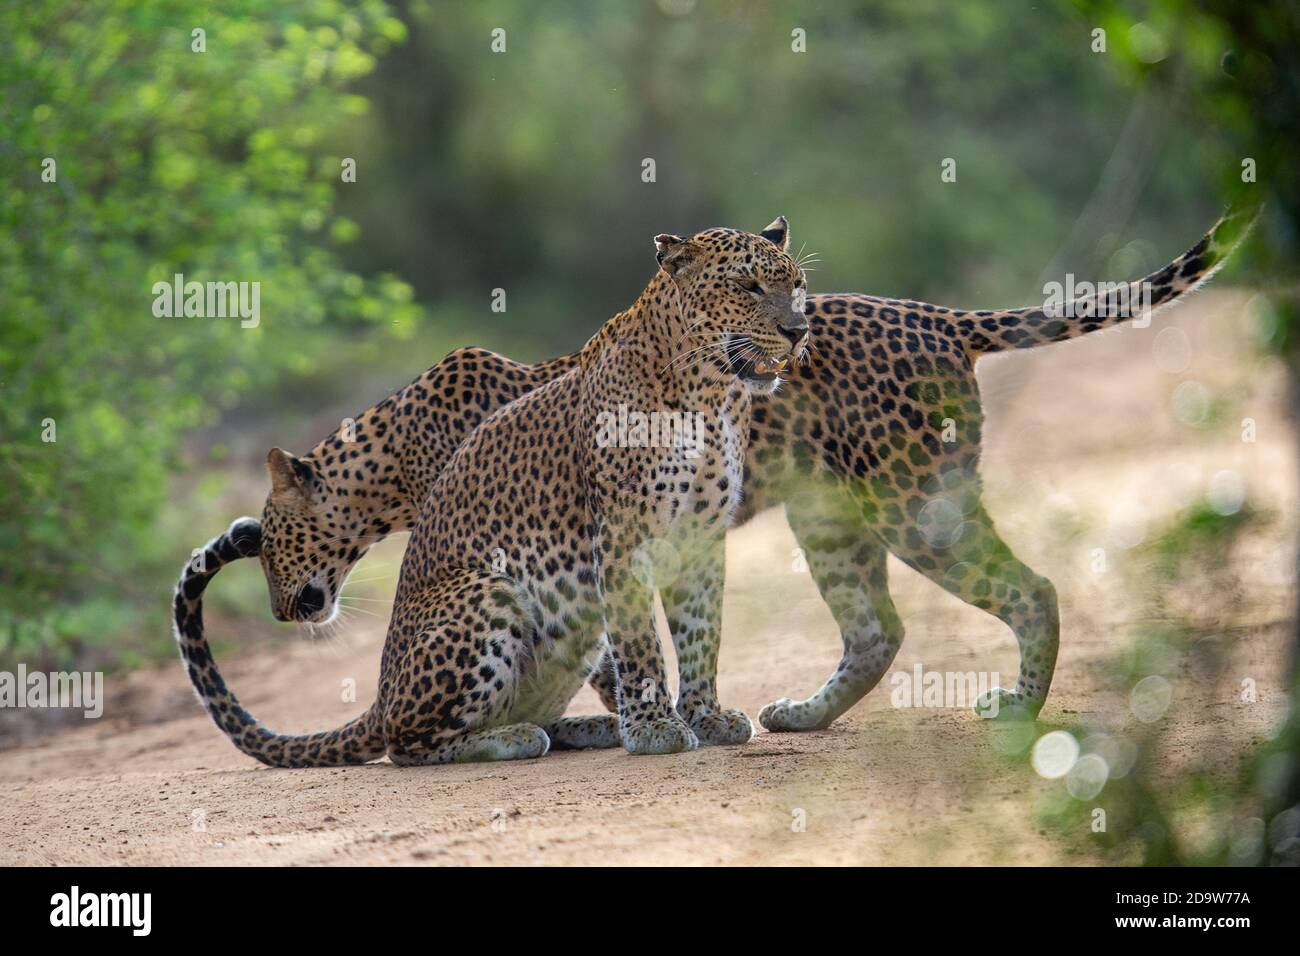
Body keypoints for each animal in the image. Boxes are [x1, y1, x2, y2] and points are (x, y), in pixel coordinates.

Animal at [176, 217, 806, 764]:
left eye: (797, 286)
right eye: (747, 286)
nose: (798, 331)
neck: (707, 393)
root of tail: (379, 697)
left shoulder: (700, 534)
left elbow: (701, 633)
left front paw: (702, 716)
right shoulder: (621, 536)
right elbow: (638, 643)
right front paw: (654, 726)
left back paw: (578, 727)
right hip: (491, 589)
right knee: (408, 745)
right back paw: (518, 738)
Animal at [241, 208, 1248, 733]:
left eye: (269, 542)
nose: (281, 608)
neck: (394, 461)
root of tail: (938, 314)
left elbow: (611, 655)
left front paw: (629, 723)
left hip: (916, 501)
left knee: (1029, 588)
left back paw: (1017, 708)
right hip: (832, 515)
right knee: (876, 628)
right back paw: (804, 715)